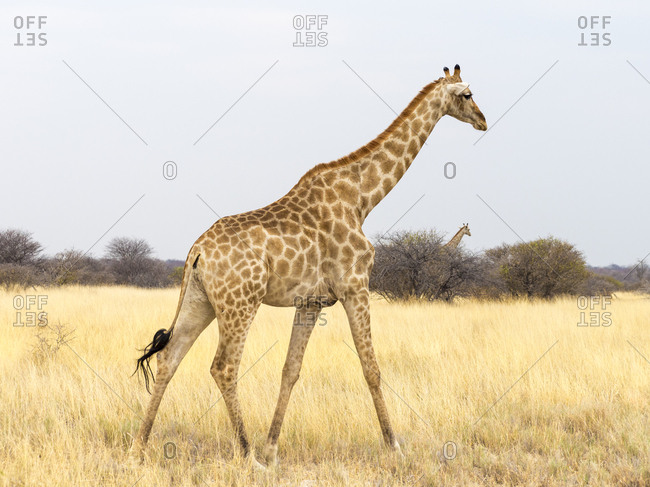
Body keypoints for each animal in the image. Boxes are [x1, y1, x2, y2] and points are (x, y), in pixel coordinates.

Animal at [131, 64, 487, 466]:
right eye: (468, 95)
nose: (483, 121)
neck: (361, 199)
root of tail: (196, 251)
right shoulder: (355, 286)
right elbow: (371, 368)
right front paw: (394, 446)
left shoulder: (311, 301)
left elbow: (290, 370)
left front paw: (272, 449)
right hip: (241, 302)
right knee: (223, 367)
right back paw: (246, 454)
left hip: (201, 300)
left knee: (169, 358)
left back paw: (139, 448)